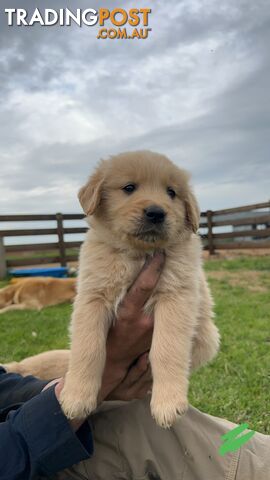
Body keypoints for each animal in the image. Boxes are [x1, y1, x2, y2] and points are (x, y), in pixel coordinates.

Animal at [59, 151, 219, 428]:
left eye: (171, 192)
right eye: (129, 188)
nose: (156, 212)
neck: (138, 255)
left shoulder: (176, 296)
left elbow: (166, 349)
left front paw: (167, 404)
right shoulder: (92, 297)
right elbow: (87, 347)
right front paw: (76, 398)